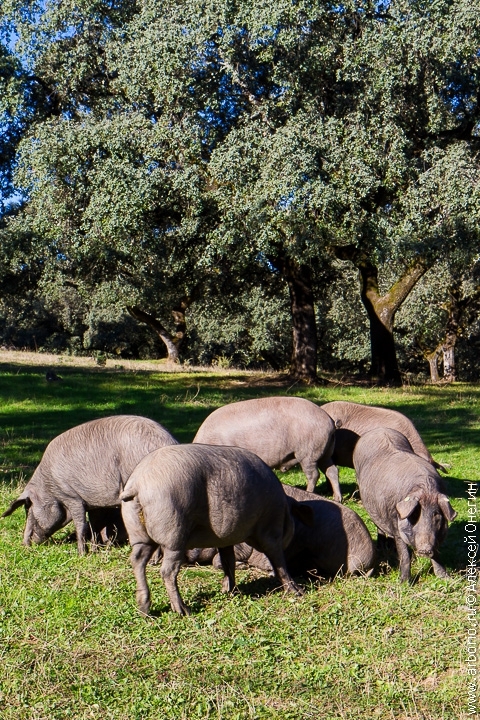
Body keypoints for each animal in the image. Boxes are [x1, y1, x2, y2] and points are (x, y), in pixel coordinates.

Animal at [1, 414, 178, 556]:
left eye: (29, 508)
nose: (26, 544)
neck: (49, 486)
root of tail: (169, 441)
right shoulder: (95, 503)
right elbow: (95, 526)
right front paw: (94, 550)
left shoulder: (72, 496)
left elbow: (81, 524)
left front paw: (81, 554)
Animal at [118, 442, 310, 616]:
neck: (283, 508)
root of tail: (138, 484)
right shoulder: (269, 530)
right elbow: (279, 561)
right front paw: (298, 592)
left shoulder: (225, 539)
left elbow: (228, 561)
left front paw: (229, 591)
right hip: (173, 534)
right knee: (167, 571)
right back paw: (183, 611)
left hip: (138, 533)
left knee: (137, 560)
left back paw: (144, 610)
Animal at [192, 394, 342, 500]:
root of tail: (330, 421)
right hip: (325, 452)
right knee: (332, 471)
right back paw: (337, 499)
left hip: (308, 453)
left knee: (314, 475)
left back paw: (309, 492)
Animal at [352, 428, 458, 580]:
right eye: (414, 515)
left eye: (437, 515)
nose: (424, 549)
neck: (426, 489)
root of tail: (380, 429)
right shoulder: (396, 525)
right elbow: (405, 555)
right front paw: (404, 582)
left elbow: (436, 554)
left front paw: (446, 578)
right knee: (379, 526)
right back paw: (382, 547)